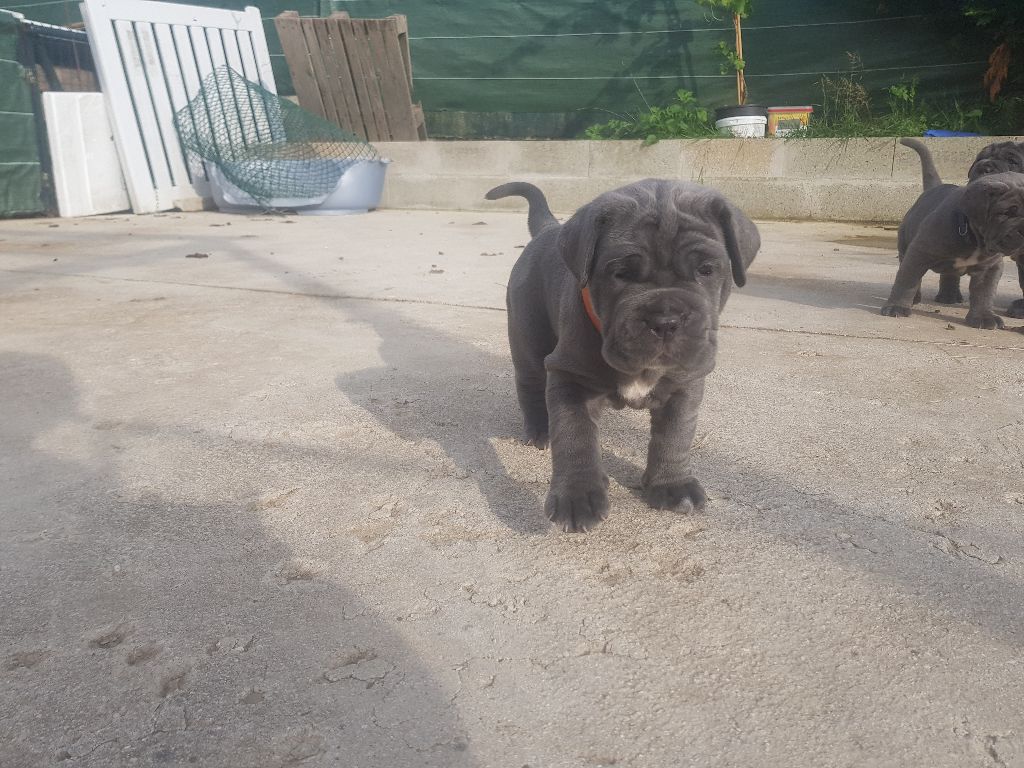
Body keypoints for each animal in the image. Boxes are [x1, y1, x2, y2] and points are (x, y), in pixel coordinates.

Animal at [486, 180, 760, 531]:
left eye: (706, 270)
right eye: (620, 273)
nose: (665, 320)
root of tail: (548, 229)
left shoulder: (684, 383)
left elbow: (675, 436)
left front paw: (672, 485)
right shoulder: (570, 378)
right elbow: (575, 436)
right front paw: (576, 497)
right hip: (527, 337)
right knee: (530, 384)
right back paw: (540, 429)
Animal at [881, 139, 1024, 329]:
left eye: (1013, 161)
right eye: (1007, 212)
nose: (985, 166)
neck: (974, 237)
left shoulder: (990, 267)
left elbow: (984, 294)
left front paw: (983, 317)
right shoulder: (919, 253)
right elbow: (907, 281)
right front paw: (896, 307)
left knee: (950, 274)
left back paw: (949, 296)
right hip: (906, 246)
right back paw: (918, 298)